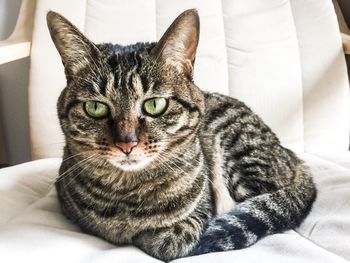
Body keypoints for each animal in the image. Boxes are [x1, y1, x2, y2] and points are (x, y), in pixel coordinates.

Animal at [46, 9, 318, 262]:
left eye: (154, 105)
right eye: (95, 107)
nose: (127, 143)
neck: (127, 195)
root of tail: (292, 157)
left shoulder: (201, 211)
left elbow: (174, 237)